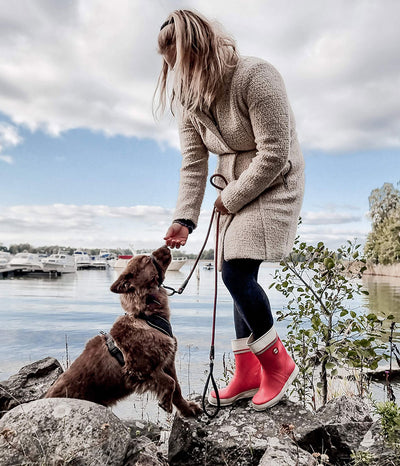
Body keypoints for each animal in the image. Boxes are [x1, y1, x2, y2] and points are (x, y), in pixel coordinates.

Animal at [46, 246, 202, 416]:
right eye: (146, 259)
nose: (167, 246)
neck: (147, 317)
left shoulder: (168, 363)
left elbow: (177, 389)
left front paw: (187, 409)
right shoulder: (141, 370)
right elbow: (170, 382)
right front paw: (166, 403)